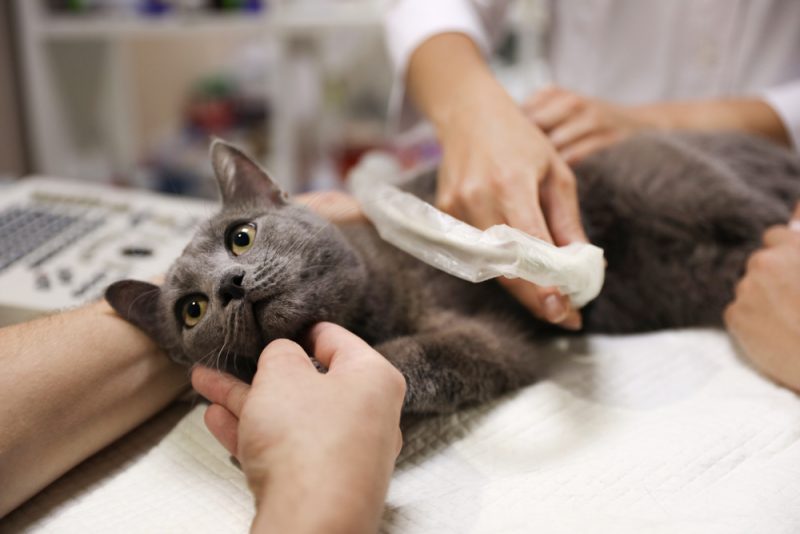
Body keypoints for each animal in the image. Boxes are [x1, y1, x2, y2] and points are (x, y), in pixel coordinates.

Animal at [104, 132, 800, 416]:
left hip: (676, 184)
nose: (229, 286)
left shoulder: (483, 334)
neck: (372, 307)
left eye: (241, 237)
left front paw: (339, 370)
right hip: (685, 277)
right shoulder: (498, 340)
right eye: (191, 310)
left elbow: (418, 357)